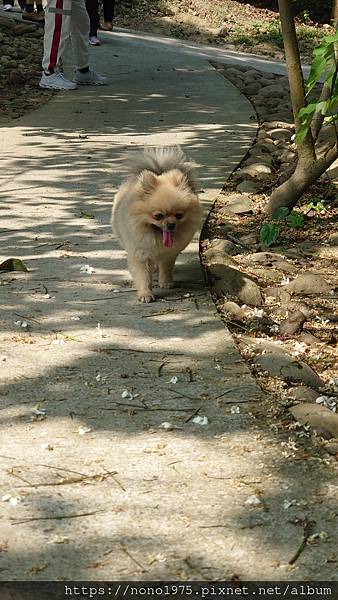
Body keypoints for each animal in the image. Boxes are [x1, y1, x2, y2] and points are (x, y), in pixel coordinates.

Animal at [112, 148, 202, 302]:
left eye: (178, 215)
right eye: (158, 216)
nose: (171, 224)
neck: (157, 239)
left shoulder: (169, 254)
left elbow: (166, 268)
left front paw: (166, 282)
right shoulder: (139, 255)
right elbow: (143, 277)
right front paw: (145, 294)